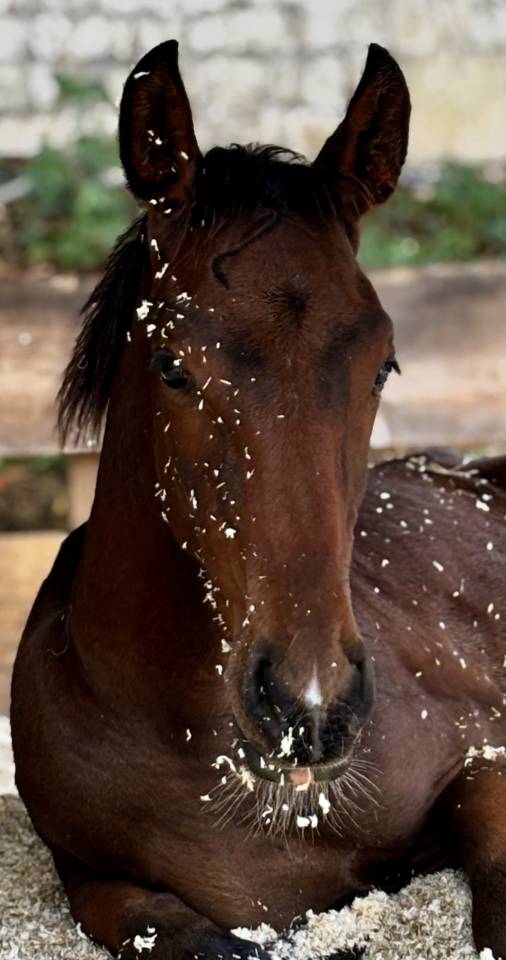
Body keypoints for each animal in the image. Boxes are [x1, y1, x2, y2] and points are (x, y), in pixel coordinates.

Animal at [11, 40, 506, 960]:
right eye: (172, 365)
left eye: (383, 365)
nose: (309, 705)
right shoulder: (91, 878)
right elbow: (169, 927)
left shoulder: (486, 760)